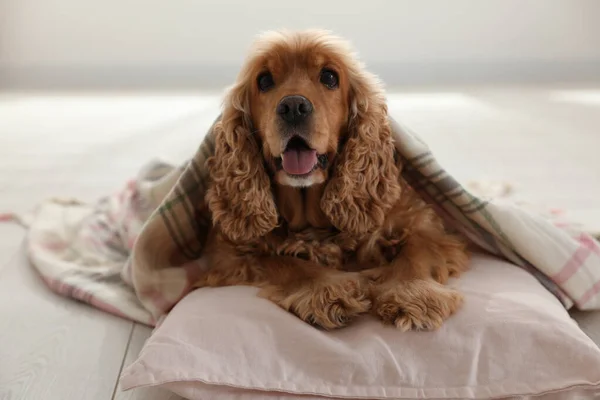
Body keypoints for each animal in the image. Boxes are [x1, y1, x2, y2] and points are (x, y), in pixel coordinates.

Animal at [195, 29, 472, 332]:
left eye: (329, 77)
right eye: (264, 80)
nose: (293, 106)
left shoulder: (422, 221)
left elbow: (416, 252)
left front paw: (413, 293)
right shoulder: (225, 251)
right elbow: (283, 261)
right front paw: (326, 291)